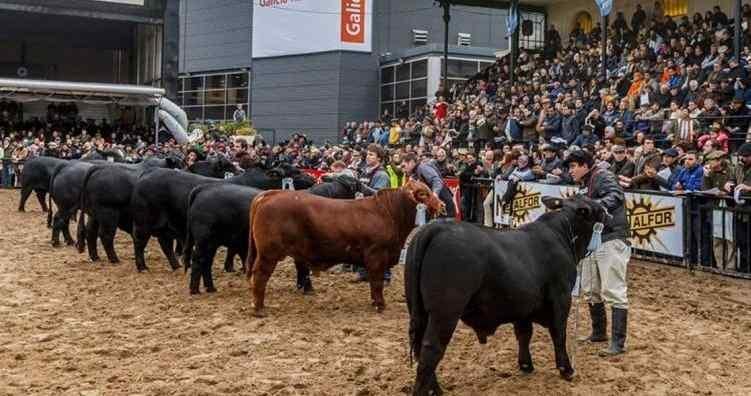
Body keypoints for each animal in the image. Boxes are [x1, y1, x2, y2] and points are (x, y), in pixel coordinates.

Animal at [247, 179, 446, 316]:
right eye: (423, 194)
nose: (442, 205)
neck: (389, 213)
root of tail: (270, 194)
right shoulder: (377, 255)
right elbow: (377, 282)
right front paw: (380, 304)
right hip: (268, 253)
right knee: (260, 276)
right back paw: (259, 308)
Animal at [406, 196, 612, 396]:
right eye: (600, 209)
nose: (610, 216)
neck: (562, 235)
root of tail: (436, 227)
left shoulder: (523, 306)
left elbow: (524, 334)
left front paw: (526, 365)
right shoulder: (561, 299)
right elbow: (559, 334)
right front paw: (566, 369)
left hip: (420, 312)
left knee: (420, 348)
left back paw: (435, 389)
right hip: (445, 312)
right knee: (431, 349)